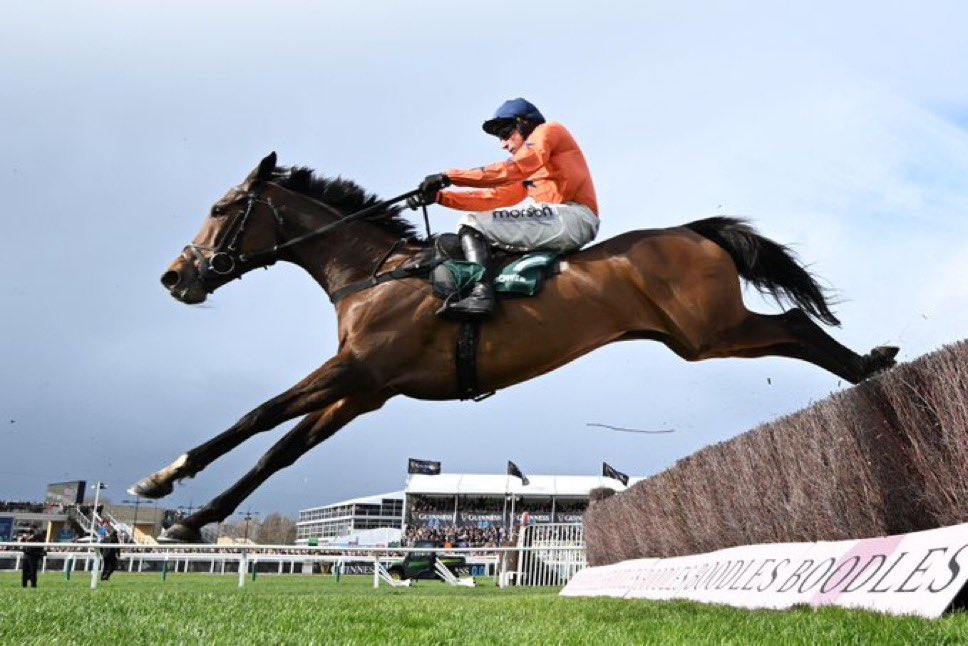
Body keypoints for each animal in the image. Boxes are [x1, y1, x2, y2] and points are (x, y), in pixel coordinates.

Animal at [133, 152, 898, 542]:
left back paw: (868, 366)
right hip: (699, 336)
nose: (174, 276)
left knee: (796, 326)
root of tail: (694, 230)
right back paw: (869, 367)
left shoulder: (356, 367)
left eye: (223, 209)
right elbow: (279, 451)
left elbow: (256, 417)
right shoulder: (366, 390)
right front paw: (192, 520)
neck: (375, 273)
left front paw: (163, 481)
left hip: (710, 333)